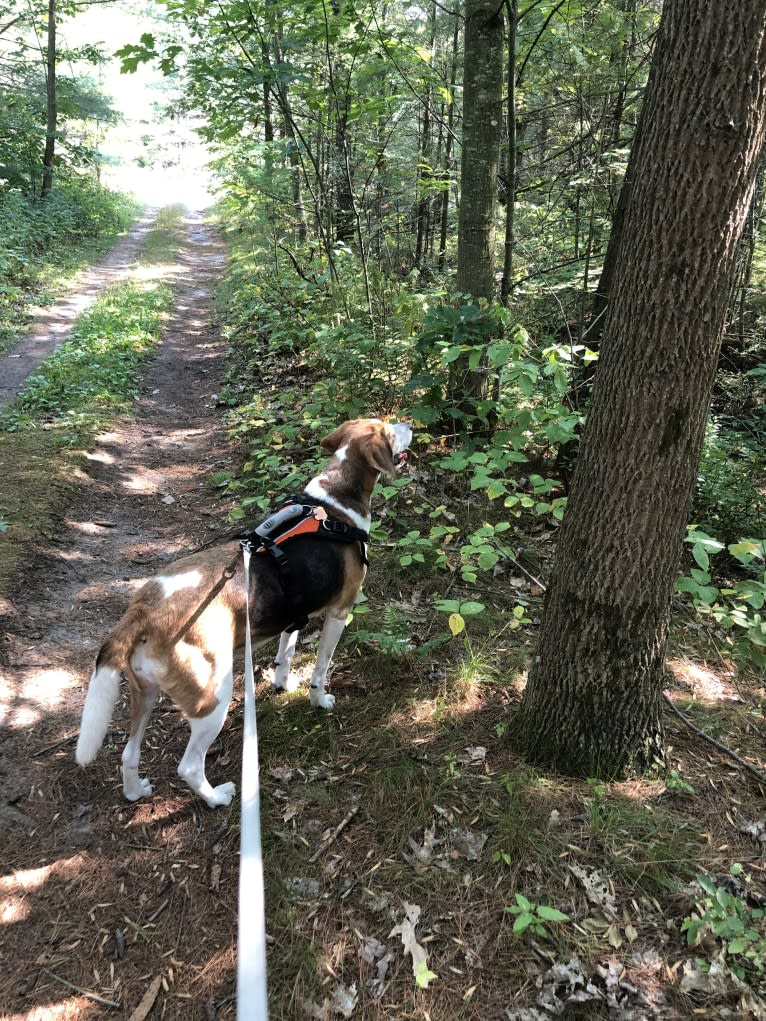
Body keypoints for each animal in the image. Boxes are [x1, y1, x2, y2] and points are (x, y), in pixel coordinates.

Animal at [75, 414, 414, 804]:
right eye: (388, 430)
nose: (409, 424)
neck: (335, 504)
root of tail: (144, 610)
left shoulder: (291, 613)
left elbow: (287, 651)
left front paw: (282, 682)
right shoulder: (339, 612)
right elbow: (321, 666)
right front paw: (318, 699)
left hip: (143, 693)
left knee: (128, 754)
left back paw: (135, 791)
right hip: (213, 699)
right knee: (188, 766)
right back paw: (217, 797)